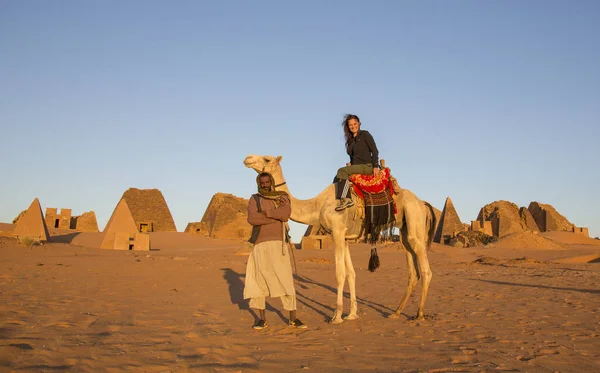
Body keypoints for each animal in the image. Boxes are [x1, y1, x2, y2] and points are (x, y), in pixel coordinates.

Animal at [244, 154, 436, 322]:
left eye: (266, 159)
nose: (247, 158)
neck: (317, 206)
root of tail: (422, 203)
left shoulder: (336, 231)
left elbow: (339, 274)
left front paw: (336, 316)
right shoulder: (344, 237)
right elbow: (351, 273)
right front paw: (352, 314)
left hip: (414, 218)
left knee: (426, 270)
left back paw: (419, 314)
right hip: (405, 231)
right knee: (413, 271)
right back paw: (396, 312)